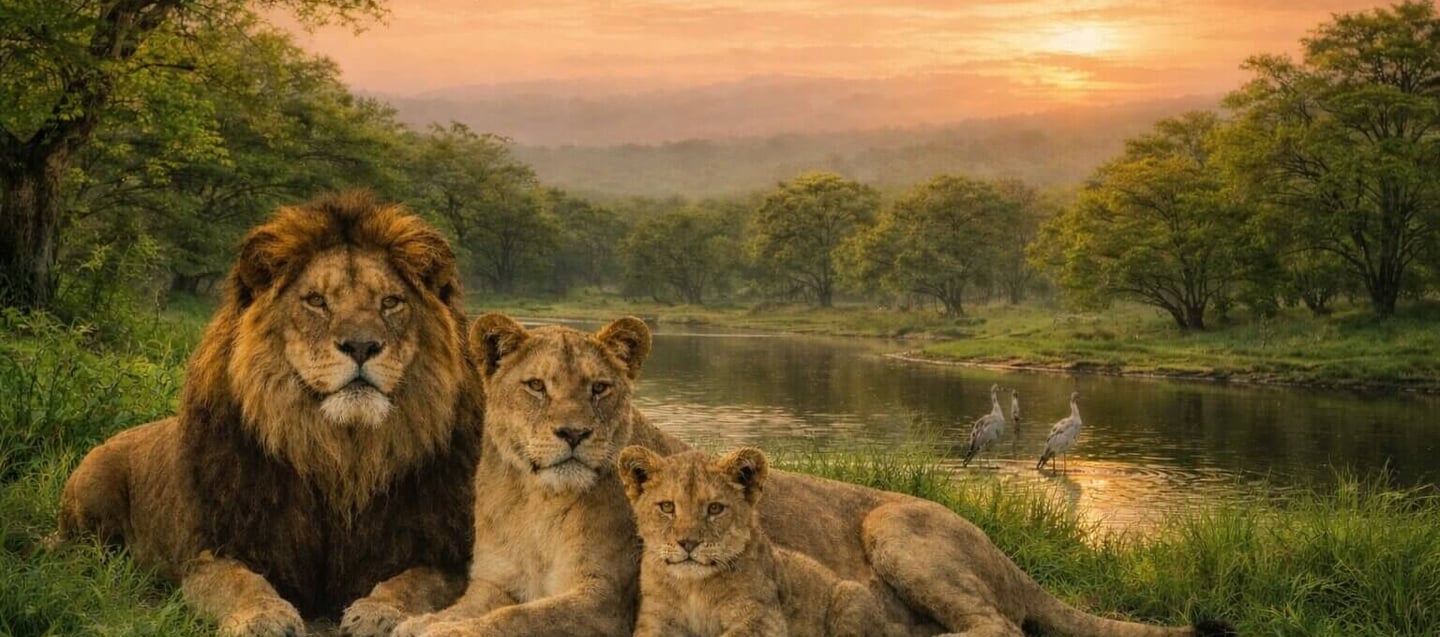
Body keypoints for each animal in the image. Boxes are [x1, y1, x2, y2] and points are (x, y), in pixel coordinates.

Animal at [58, 192, 484, 637]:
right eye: (316, 301)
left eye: (391, 303)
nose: (361, 346)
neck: (343, 459)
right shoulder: (214, 549)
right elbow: (241, 583)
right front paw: (263, 618)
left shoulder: (443, 553)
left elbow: (415, 583)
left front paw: (380, 612)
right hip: (92, 488)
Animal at [619, 446, 907, 637]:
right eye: (667, 507)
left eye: (715, 509)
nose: (688, 543)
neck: (693, 586)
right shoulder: (655, 619)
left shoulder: (764, 619)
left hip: (850, 595)